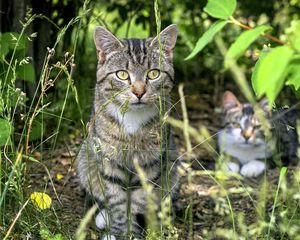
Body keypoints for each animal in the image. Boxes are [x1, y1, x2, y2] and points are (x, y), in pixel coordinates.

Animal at [77, 25, 179, 239]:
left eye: (153, 73)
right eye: (122, 75)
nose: (139, 92)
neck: (133, 118)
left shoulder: (150, 165)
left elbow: (138, 203)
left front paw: (133, 232)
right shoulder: (108, 161)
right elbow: (117, 202)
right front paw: (120, 231)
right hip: (85, 161)